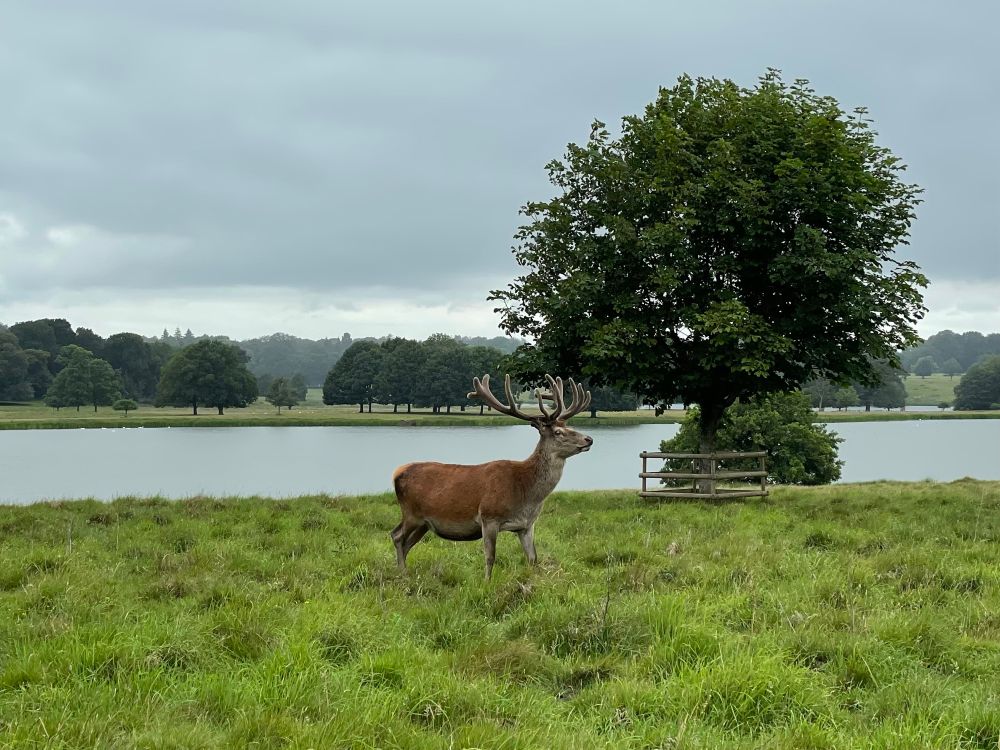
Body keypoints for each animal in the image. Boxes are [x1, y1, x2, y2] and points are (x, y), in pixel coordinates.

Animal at [391, 374, 593, 579]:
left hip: (424, 523)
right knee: (397, 536)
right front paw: (486, 582)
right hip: (411, 513)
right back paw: (403, 574)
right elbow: (490, 557)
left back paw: (404, 572)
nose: (589, 439)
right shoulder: (489, 517)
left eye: (569, 426)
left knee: (406, 543)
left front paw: (535, 580)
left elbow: (533, 558)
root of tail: (396, 473)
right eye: (558, 432)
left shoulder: (527, 525)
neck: (525, 492)